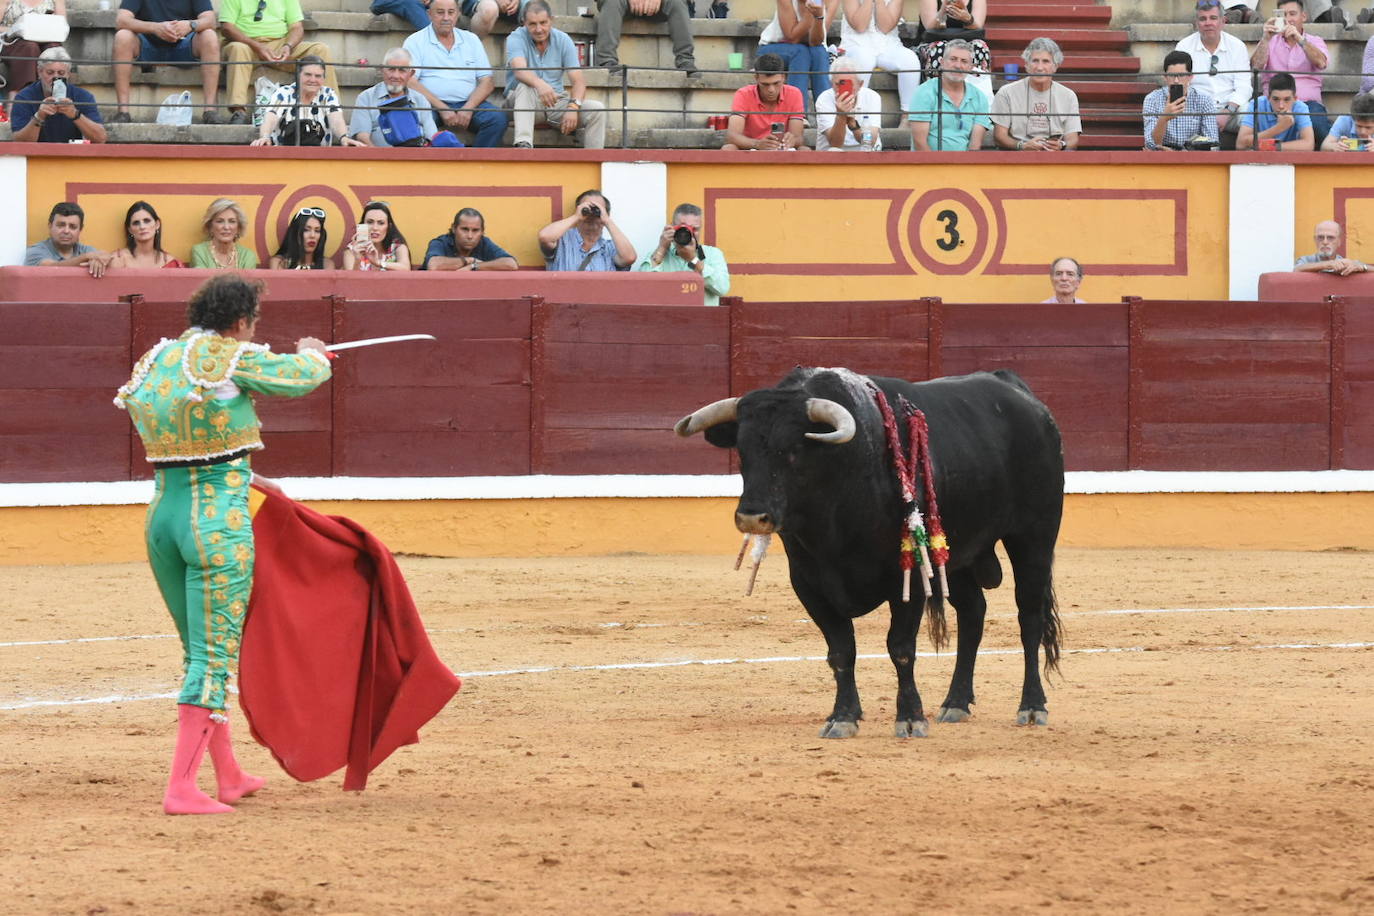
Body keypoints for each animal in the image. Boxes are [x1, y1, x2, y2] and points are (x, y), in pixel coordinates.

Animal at [676, 365, 1060, 736]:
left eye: (794, 451)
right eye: (742, 452)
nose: (752, 516)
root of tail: (1021, 394)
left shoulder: (909, 576)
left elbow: (900, 647)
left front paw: (910, 718)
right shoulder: (807, 582)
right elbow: (841, 650)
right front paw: (843, 717)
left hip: (1034, 537)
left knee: (1029, 618)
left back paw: (1032, 707)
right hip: (958, 555)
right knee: (973, 614)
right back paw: (956, 703)